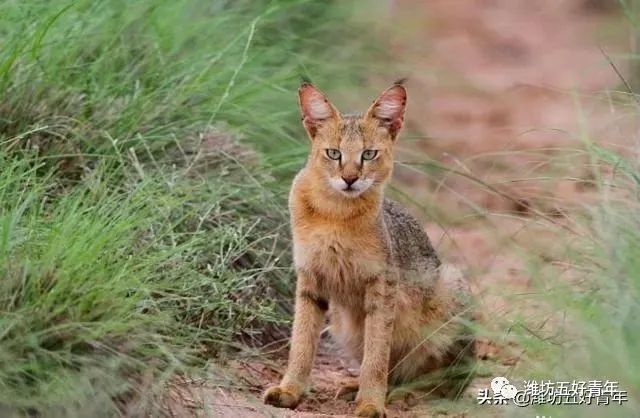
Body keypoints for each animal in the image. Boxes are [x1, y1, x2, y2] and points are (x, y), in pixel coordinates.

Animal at [262, 80, 476, 416]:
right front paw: (290, 390)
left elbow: (376, 355)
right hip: (344, 324)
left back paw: (406, 394)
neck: (335, 215)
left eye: (369, 154)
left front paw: (371, 404)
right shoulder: (309, 279)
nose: (350, 178)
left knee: (449, 383)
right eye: (333, 153)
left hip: (452, 288)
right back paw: (359, 387)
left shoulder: (382, 286)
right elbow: (301, 342)